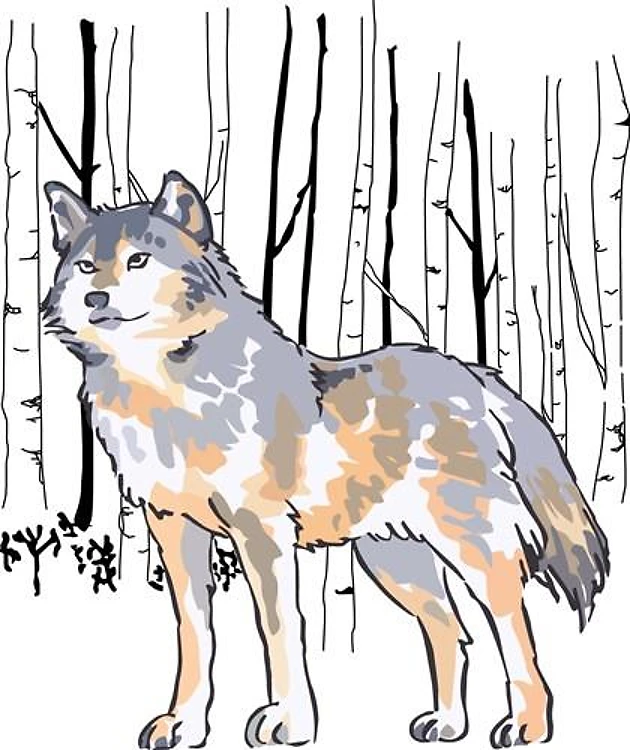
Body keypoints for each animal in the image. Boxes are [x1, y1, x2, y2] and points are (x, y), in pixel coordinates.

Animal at [43, 171, 608, 749]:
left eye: (138, 260)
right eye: (85, 266)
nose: (94, 296)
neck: (166, 391)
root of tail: (476, 373)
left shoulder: (262, 534)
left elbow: (279, 630)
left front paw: (290, 723)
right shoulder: (173, 527)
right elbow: (195, 634)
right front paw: (183, 724)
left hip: (469, 547)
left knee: (512, 623)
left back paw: (527, 725)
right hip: (395, 564)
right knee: (451, 629)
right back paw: (447, 723)